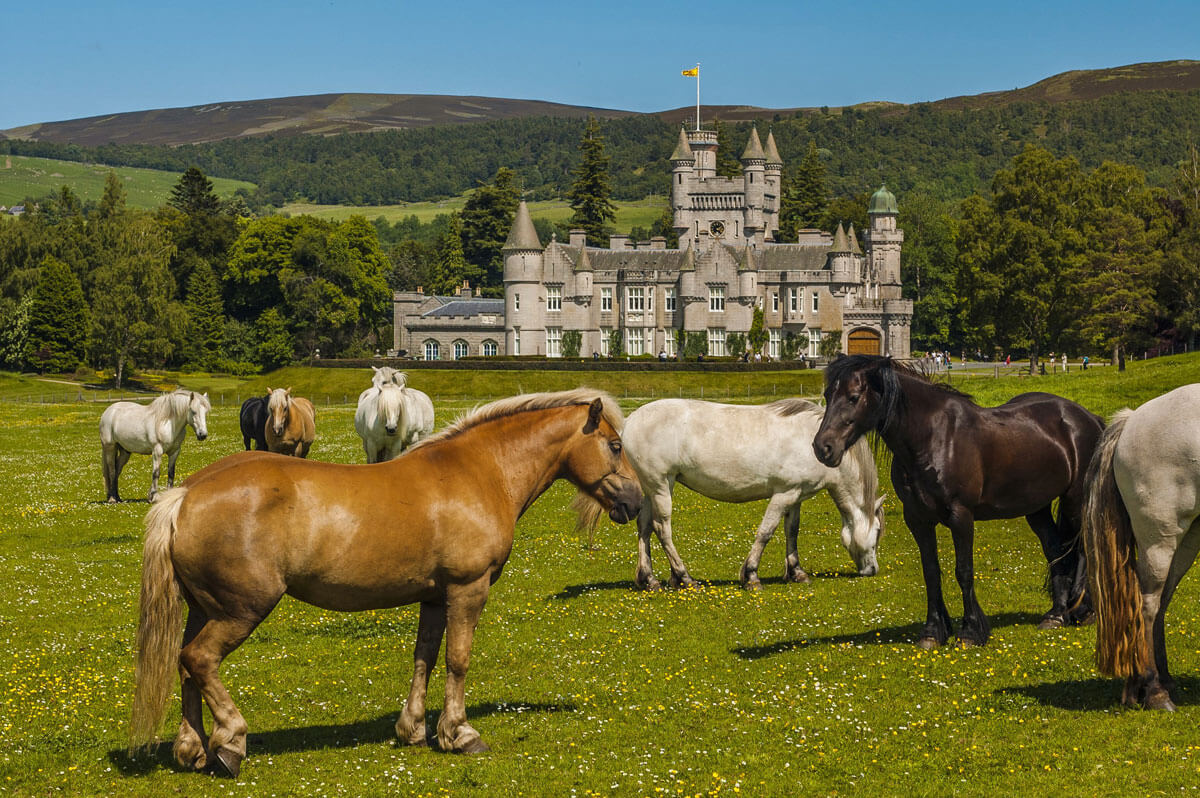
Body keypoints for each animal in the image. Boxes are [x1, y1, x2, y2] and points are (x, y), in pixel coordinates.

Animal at [126, 388, 643, 772]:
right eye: (616, 446)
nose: (635, 502)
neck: (481, 471)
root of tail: (185, 495)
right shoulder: (467, 589)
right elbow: (457, 660)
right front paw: (460, 733)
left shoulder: (434, 597)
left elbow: (425, 658)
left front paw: (412, 728)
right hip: (241, 610)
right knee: (200, 660)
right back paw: (230, 742)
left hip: (203, 608)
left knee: (185, 667)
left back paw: (192, 748)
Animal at [624, 396, 888, 588]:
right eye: (876, 533)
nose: (872, 570)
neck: (815, 443)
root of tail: (631, 420)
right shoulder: (783, 494)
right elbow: (766, 532)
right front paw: (751, 575)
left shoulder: (796, 496)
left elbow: (792, 531)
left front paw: (797, 572)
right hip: (661, 485)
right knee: (662, 528)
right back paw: (685, 576)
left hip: (652, 489)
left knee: (644, 526)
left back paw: (650, 579)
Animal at [811, 355, 1099, 648]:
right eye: (827, 395)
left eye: (854, 397)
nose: (823, 447)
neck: (932, 437)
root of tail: (1087, 418)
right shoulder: (917, 519)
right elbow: (930, 572)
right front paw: (932, 631)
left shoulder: (961, 516)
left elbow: (964, 570)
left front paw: (970, 632)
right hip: (1037, 508)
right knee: (1055, 551)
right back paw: (1056, 615)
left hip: (1075, 501)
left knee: (1083, 549)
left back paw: (1083, 611)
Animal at [1080, 384, 1200, 710]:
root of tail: (1133, 419)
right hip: (1160, 540)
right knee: (1148, 604)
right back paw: (1155, 690)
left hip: (1186, 540)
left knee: (1161, 602)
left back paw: (1153, 683)